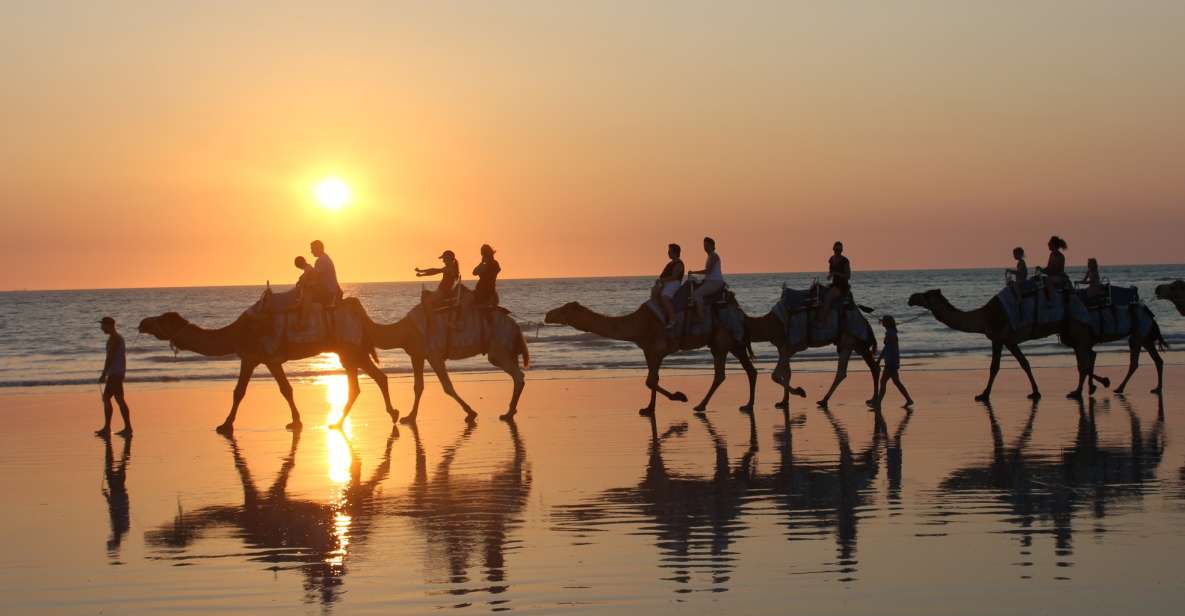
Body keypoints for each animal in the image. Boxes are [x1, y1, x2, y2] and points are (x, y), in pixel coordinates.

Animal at [138, 298, 398, 433]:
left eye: (163, 319)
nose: (142, 323)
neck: (236, 332)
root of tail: (358, 310)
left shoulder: (265, 357)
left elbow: (279, 390)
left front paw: (225, 425)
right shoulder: (251, 357)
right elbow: (242, 391)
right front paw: (295, 421)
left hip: (351, 348)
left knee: (374, 378)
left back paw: (390, 414)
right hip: (347, 351)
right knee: (363, 383)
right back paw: (340, 421)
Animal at [542, 300, 753, 416]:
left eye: (565, 309)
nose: (547, 314)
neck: (637, 324)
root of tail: (740, 313)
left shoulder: (656, 348)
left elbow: (650, 380)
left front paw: (680, 396)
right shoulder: (649, 351)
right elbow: (653, 379)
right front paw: (649, 408)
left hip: (722, 340)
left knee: (723, 373)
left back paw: (702, 405)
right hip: (732, 342)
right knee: (748, 370)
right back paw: (745, 405)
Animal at [739, 305, 881, 412]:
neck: (769, 324)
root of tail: (864, 320)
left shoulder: (789, 347)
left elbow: (775, 375)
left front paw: (800, 392)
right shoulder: (784, 348)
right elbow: (787, 373)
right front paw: (784, 401)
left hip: (851, 340)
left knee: (863, 369)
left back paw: (873, 399)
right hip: (852, 344)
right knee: (852, 370)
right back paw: (825, 400)